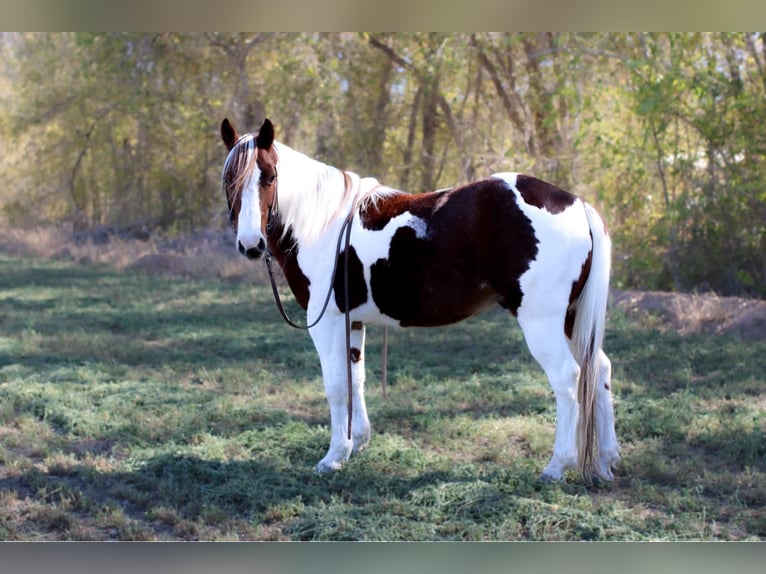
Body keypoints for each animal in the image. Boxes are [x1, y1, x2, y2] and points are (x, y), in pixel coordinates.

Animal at [220, 117, 620, 482]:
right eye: (229, 179)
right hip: (571, 319)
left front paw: (333, 457)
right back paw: (606, 461)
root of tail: (576, 204)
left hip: (542, 322)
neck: (322, 223)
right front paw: (357, 443)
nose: (251, 244)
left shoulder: (328, 322)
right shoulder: (353, 321)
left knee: (568, 377)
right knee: (599, 369)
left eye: (270, 177)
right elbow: (356, 379)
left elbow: (336, 386)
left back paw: (557, 467)